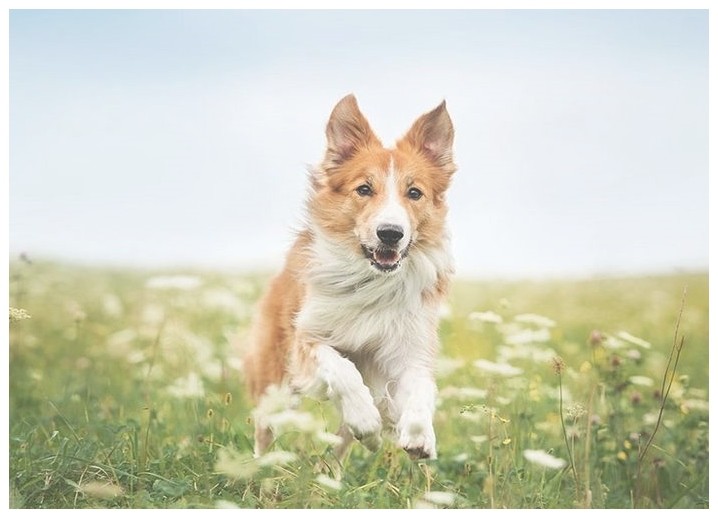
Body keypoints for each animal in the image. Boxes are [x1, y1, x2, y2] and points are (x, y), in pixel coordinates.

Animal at [245, 94, 458, 464]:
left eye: (414, 193)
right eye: (364, 189)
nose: (391, 233)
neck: (372, 281)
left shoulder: (409, 347)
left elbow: (422, 387)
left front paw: (419, 436)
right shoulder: (307, 338)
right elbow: (342, 369)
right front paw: (365, 417)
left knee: (341, 448)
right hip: (275, 378)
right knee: (265, 428)